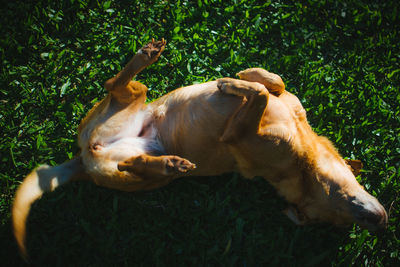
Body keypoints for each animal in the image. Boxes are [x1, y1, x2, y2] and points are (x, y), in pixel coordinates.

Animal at [12, 39, 388, 258]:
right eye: (339, 211)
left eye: (331, 221)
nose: (381, 222)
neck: (304, 162)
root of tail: (83, 159)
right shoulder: (285, 103)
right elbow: (273, 85)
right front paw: (244, 75)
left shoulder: (236, 136)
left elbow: (260, 94)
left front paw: (235, 83)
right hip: (134, 99)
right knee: (114, 84)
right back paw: (148, 55)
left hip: (141, 176)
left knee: (128, 163)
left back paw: (170, 163)